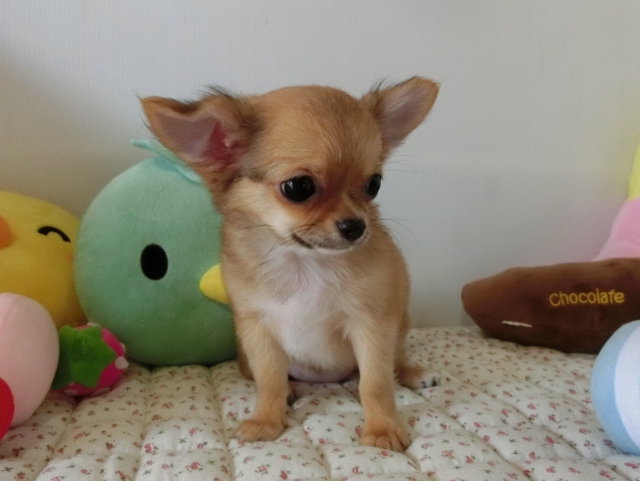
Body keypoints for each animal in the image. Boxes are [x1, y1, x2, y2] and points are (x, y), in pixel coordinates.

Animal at [141, 76, 439, 451]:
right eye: (298, 187)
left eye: (374, 184)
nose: (356, 226)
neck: (305, 263)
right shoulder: (258, 328)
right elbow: (269, 380)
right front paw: (265, 420)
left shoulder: (371, 325)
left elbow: (375, 383)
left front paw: (383, 428)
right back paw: (291, 390)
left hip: (399, 326)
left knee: (391, 363)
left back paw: (414, 373)